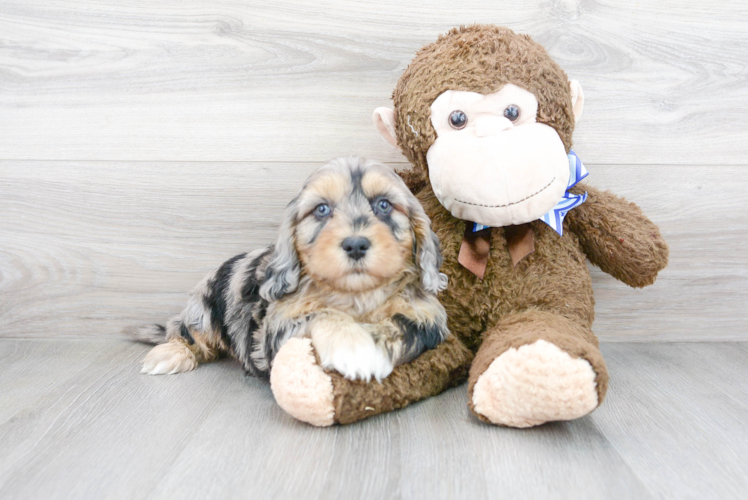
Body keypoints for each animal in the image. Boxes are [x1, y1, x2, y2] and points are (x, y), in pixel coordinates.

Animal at [127, 158, 450, 380]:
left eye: (384, 205)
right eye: (321, 210)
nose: (356, 245)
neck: (356, 294)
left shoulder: (427, 320)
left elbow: (398, 324)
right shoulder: (276, 327)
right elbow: (325, 314)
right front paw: (354, 349)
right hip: (202, 311)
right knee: (187, 334)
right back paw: (169, 354)